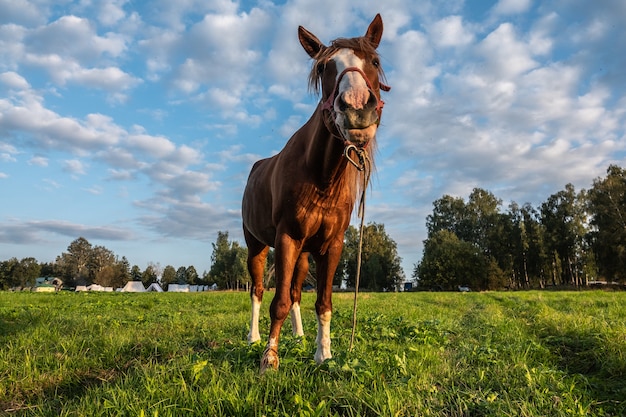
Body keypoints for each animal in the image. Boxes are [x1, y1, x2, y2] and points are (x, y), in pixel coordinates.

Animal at [241, 13, 388, 370]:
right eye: (323, 68)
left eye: (375, 61)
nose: (357, 109)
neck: (321, 176)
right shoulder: (286, 239)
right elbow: (277, 301)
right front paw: (269, 358)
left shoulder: (331, 246)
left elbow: (322, 302)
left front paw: (323, 353)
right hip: (257, 246)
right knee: (258, 290)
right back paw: (254, 338)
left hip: (305, 254)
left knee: (295, 291)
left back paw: (298, 336)